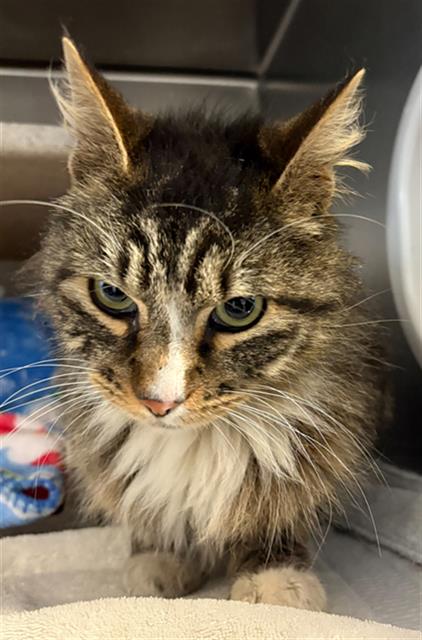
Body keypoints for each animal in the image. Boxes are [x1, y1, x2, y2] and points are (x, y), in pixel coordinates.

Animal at [25, 37, 385, 608]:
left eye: (239, 310)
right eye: (113, 296)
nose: (159, 403)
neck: (192, 442)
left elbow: (274, 512)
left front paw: (274, 578)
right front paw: (160, 559)